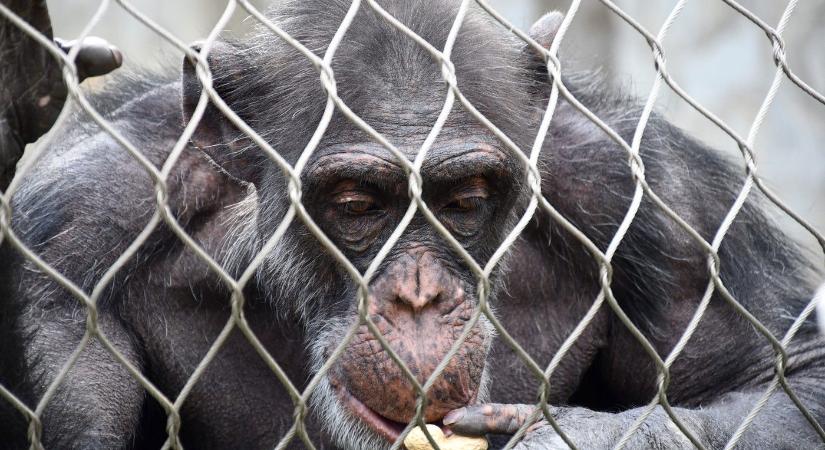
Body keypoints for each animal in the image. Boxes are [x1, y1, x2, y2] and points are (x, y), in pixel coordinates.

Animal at [1, 0, 824, 450]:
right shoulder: (76, 231)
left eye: (464, 198)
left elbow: (783, 379)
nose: (419, 296)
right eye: (357, 203)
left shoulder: (654, 202)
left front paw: (579, 440)